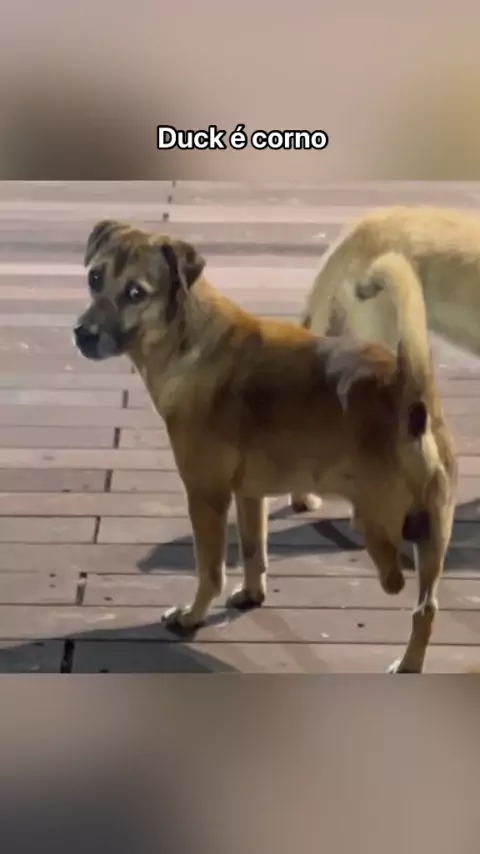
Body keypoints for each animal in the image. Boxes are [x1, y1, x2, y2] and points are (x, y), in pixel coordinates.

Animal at [74, 219, 457, 673]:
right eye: (94, 277)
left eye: (136, 292)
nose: (82, 334)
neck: (188, 337)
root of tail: (410, 394)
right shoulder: (250, 494)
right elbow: (254, 550)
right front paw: (250, 594)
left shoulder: (207, 496)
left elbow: (210, 569)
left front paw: (192, 615)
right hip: (435, 536)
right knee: (426, 608)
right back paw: (410, 663)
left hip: (379, 524)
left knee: (395, 580)